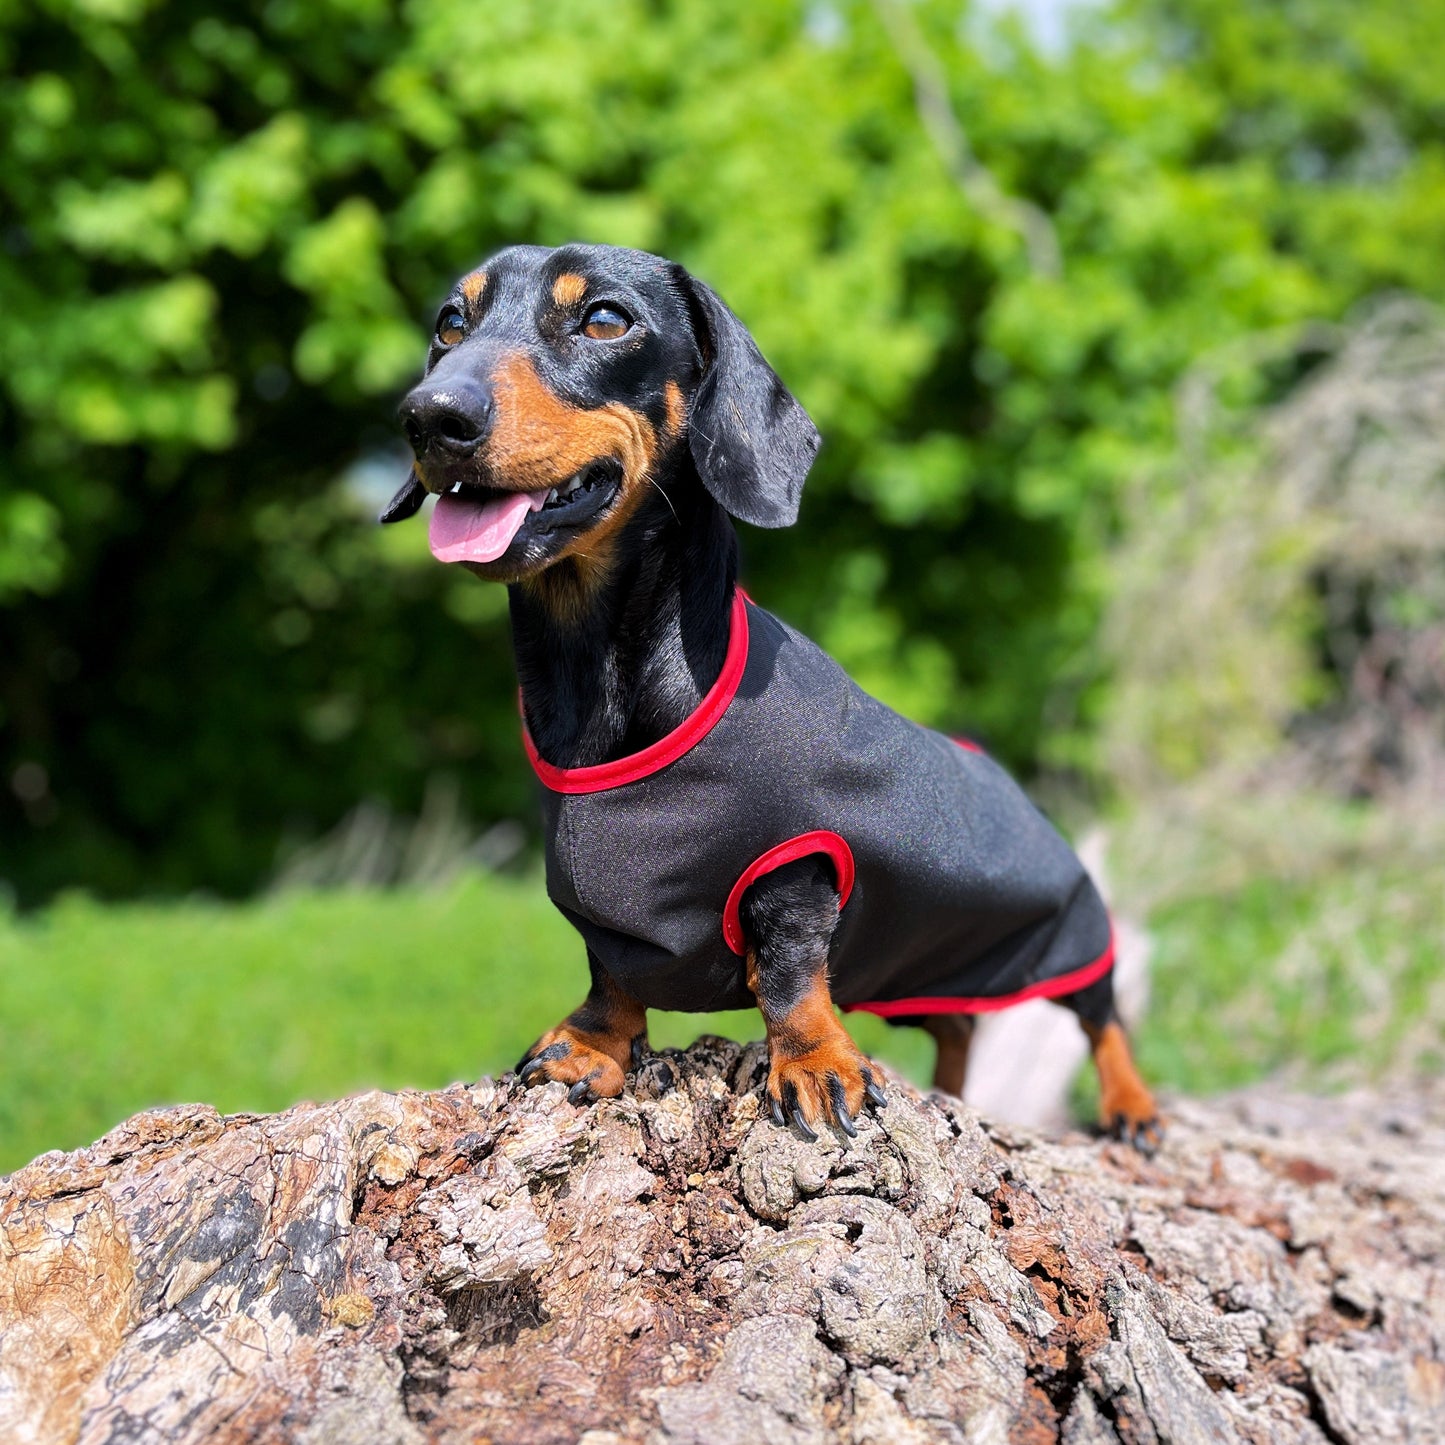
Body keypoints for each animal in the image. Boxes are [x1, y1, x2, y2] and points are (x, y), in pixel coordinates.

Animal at [387, 245, 1161, 1150]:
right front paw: (592, 1045)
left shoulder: (797, 864)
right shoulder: (602, 912)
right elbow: (611, 973)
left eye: (605, 319)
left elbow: (790, 972)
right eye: (451, 323)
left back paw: (1131, 1104)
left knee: (1102, 1015)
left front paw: (814, 1062)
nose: (429, 417)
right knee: (959, 1022)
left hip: (1068, 934)